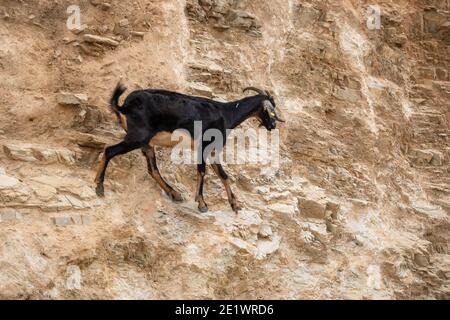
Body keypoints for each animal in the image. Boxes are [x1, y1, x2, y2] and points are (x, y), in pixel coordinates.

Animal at [95, 82, 284, 212]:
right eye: (271, 110)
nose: (273, 125)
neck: (226, 113)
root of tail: (124, 105)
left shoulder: (212, 151)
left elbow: (224, 175)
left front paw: (234, 204)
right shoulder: (204, 146)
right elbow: (202, 171)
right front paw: (202, 203)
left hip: (146, 144)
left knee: (153, 169)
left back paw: (174, 194)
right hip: (137, 137)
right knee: (109, 150)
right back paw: (99, 186)